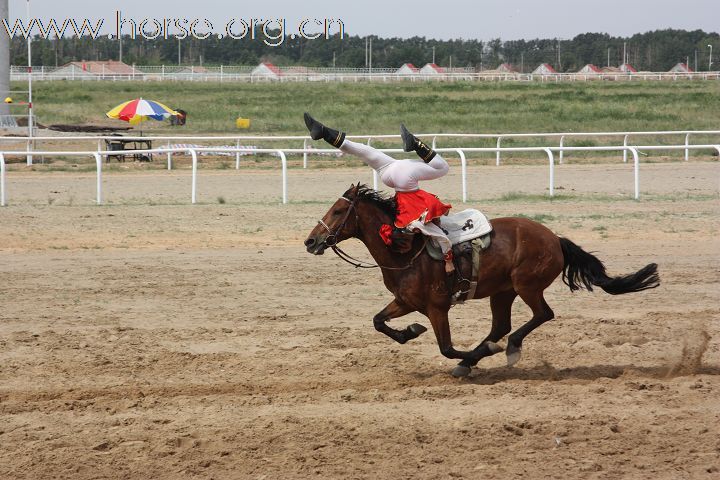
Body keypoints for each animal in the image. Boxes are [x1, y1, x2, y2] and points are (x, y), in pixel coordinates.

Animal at [304, 186, 660, 376]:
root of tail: (555, 239)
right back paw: (485, 352)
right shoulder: (406, 301)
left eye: (338, 211)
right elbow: (379, 321)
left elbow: (447, 348)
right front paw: (410, 331)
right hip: (501, 292)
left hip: (526, 285)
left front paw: (476, 356)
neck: (405, 251)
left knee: (541, 315)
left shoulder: (437, 307)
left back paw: (504, 349)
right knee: (502, 324)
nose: (310, 241)